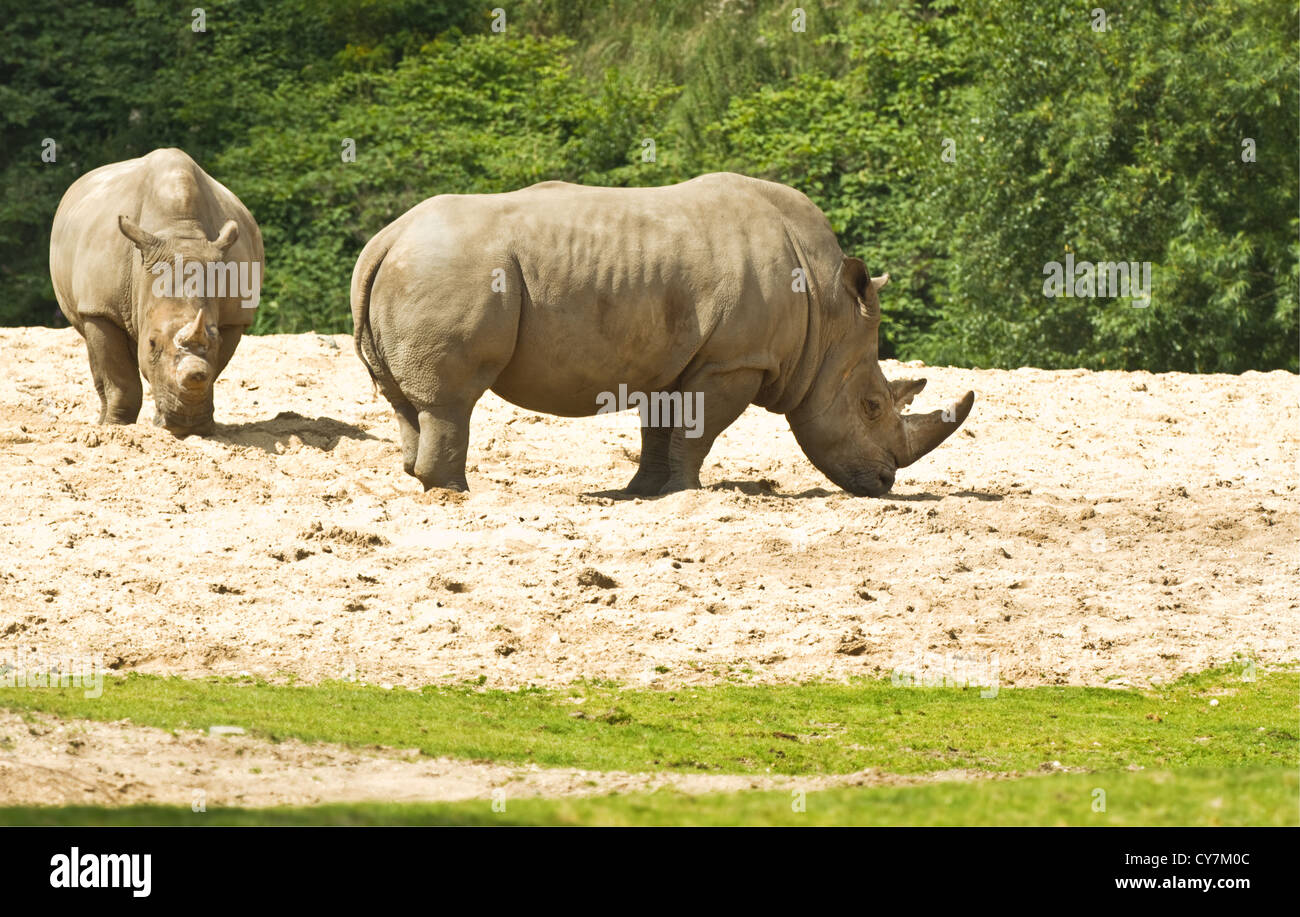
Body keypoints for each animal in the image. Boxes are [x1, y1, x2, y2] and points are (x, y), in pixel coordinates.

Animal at [50, 148, 263, 434]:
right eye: (151, 343)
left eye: (215, 338)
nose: (187, 426)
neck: (180, 233)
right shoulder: (100, 308)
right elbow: (120, 377)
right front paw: (116, 427)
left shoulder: (234, 318)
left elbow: (212, 368)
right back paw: (102, 423)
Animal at [351, 173, 973, 496]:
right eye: (872, 406)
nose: (885, 482)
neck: (826, 311)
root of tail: (386, 238)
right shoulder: (735, 360)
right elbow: (698, 430)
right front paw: (686, 494)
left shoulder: (673, 356)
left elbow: (661, 426)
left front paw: (645, 493)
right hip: (450, 268)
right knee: (452, 399)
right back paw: (455, 493)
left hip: (422, 266)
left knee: (406, 402)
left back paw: (421, 484)